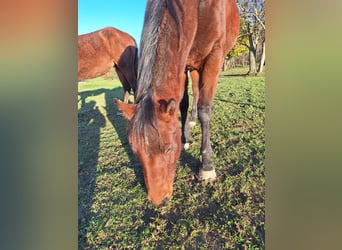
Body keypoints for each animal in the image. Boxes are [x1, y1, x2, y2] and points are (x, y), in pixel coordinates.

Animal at [115, 0, 238, 206]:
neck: (199, 8)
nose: (160, 201)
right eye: (135, 151)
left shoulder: (214, 56)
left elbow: (205, 110)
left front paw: (207, 166)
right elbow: (182, 104)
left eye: (169, 149)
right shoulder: (183, 59)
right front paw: (185, 138)